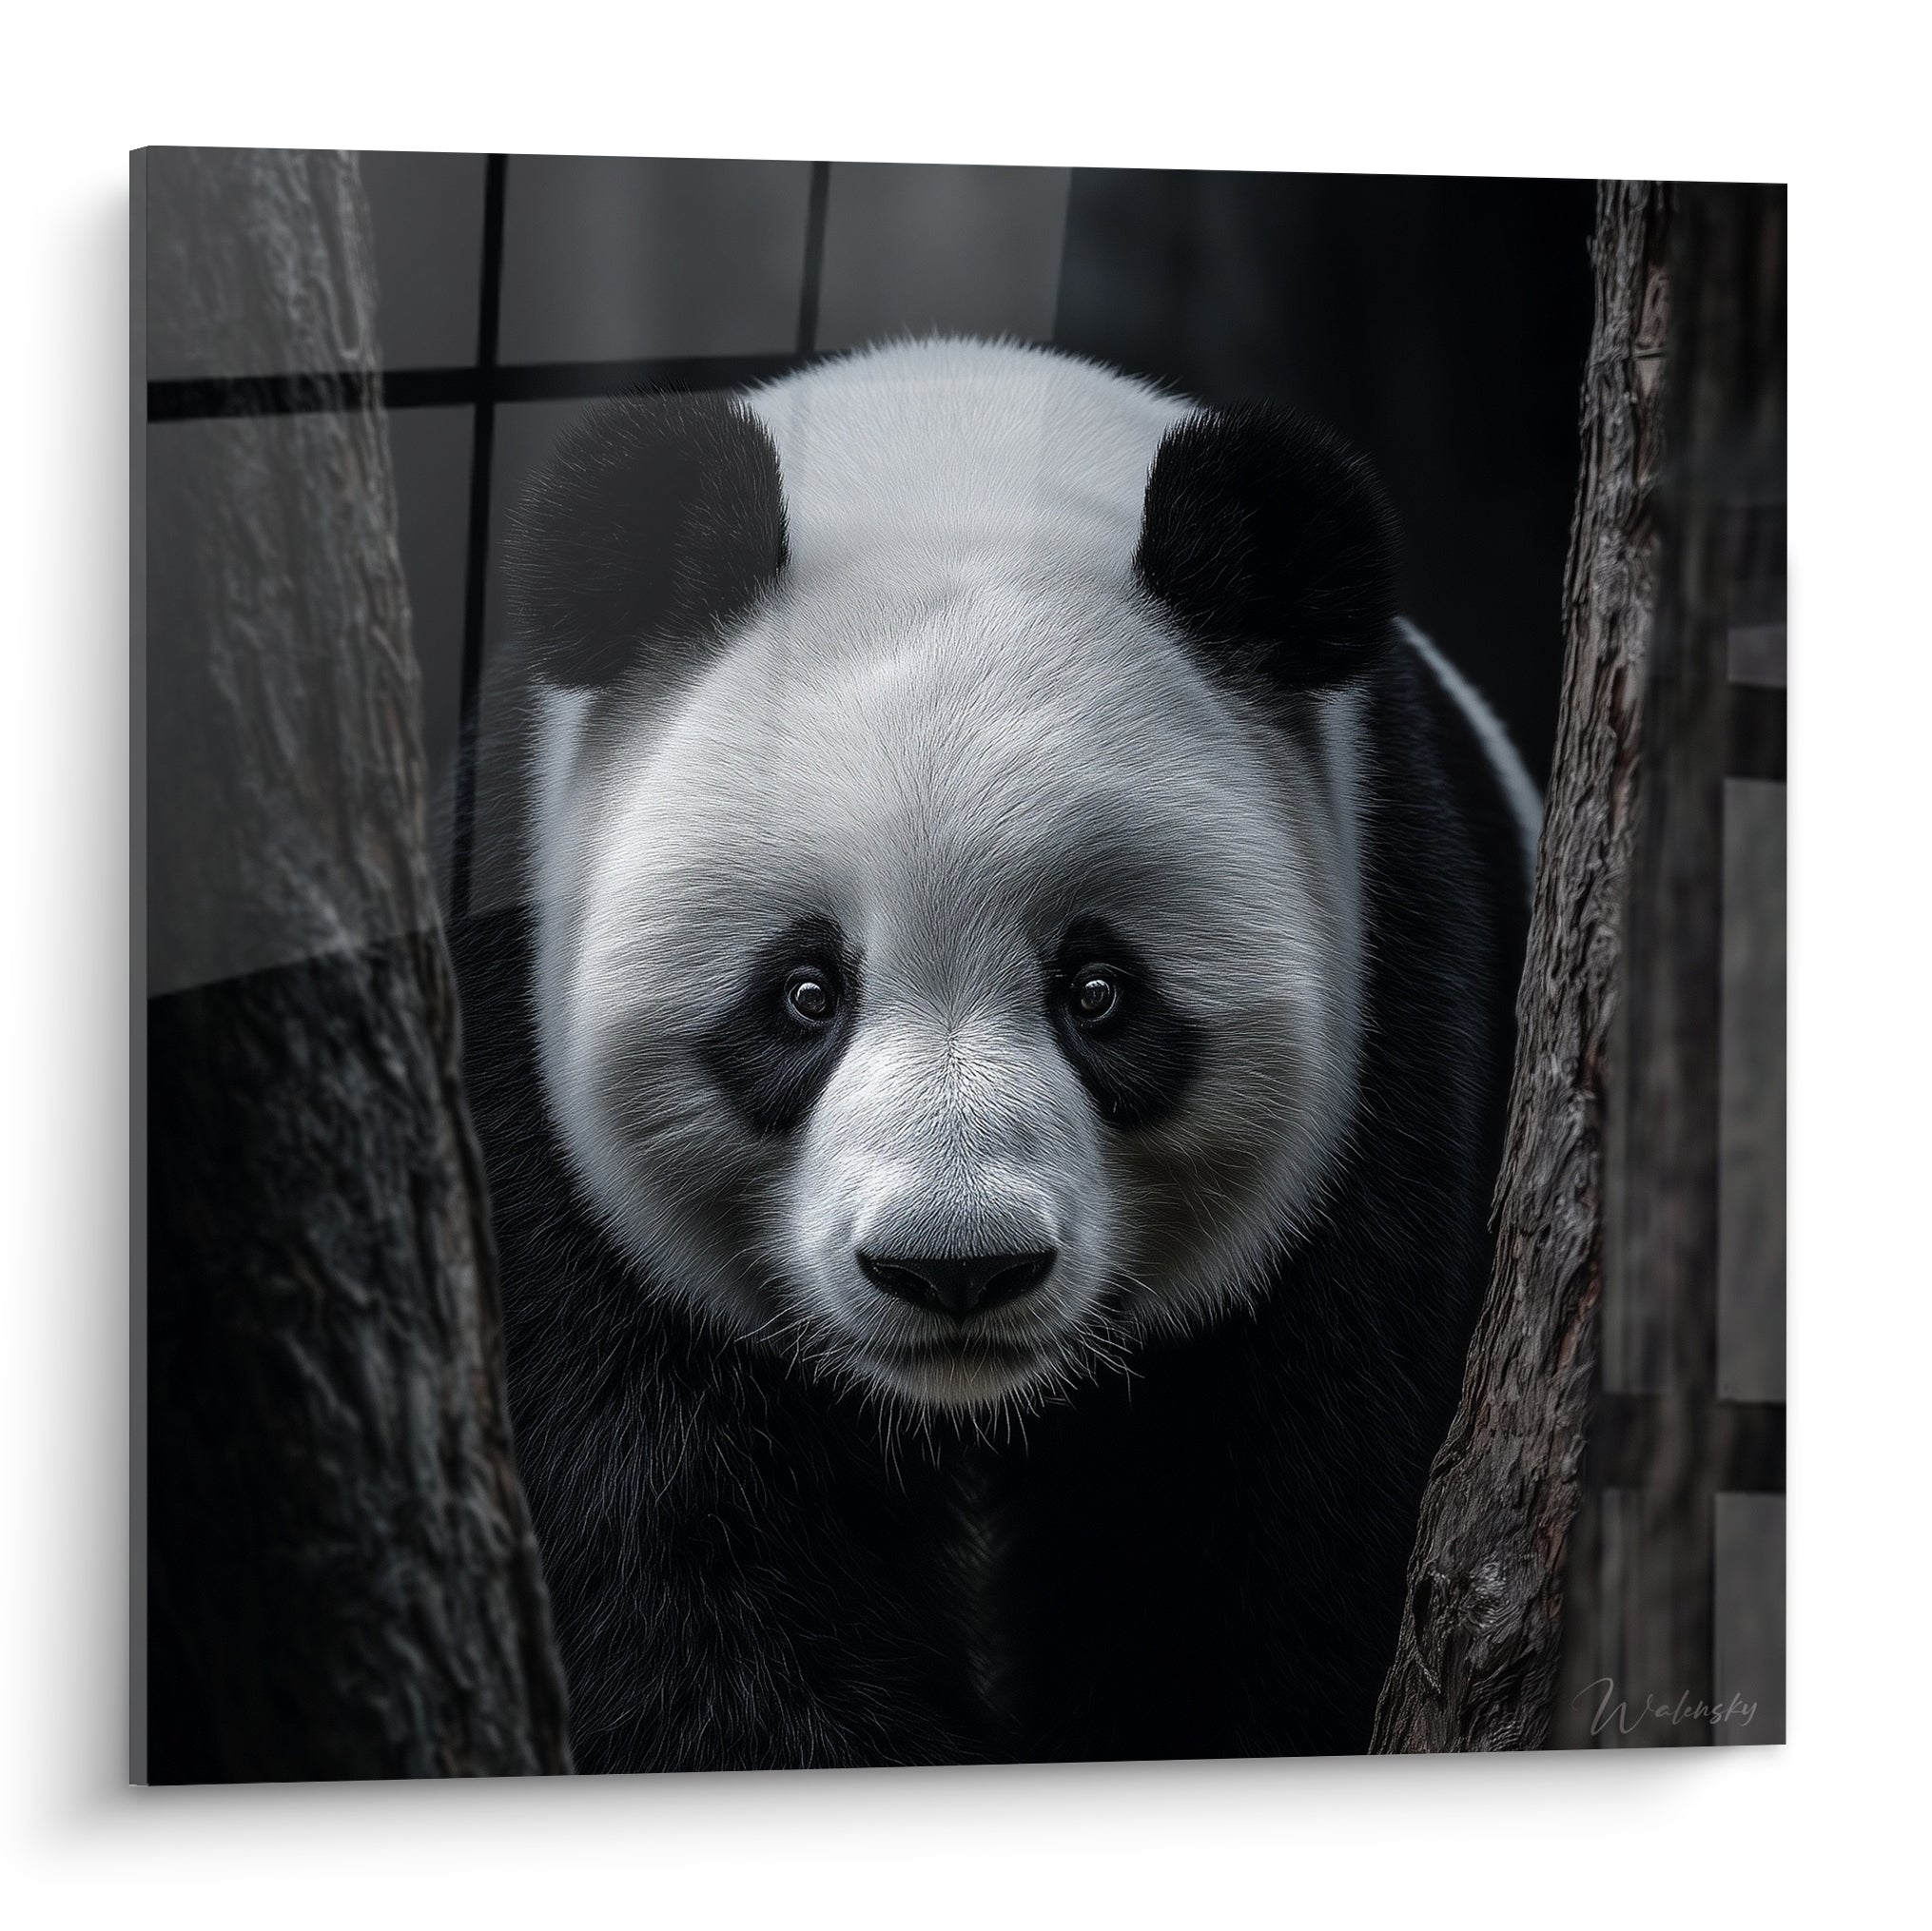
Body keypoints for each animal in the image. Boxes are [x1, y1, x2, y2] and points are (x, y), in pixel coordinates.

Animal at [450, 336, 1540, 1772]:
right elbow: (671, 1544)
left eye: (1099, 992)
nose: (954, 1266)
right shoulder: (522, 1088)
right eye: (804, 994)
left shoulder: (1393, 1018)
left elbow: (1257, 1540)